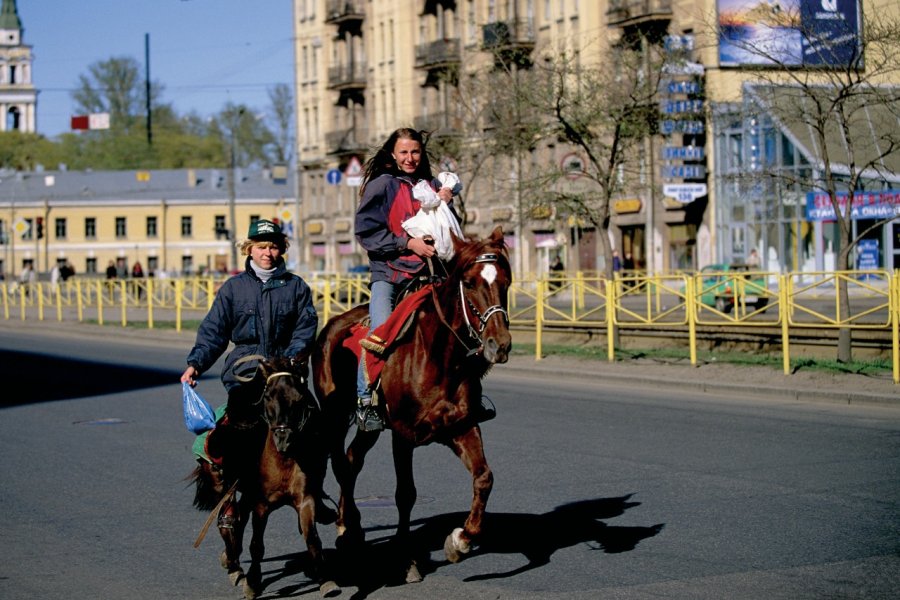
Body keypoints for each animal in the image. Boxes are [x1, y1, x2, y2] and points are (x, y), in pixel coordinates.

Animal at [192, 358, 340, 596]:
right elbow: (256, 545)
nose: (284, 438)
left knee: (238, 521)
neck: (283, 461)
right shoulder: (261, 505)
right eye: (268, 396)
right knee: (227, 522)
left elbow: (312, 539)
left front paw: (326, 580)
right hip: (224, 487)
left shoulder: (305, 500)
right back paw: (233, 564)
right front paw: (253, 582)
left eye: (298, 398)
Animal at [314, 225, 512, 580]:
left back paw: (350, 528)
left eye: (505, 281)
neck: (439, 357)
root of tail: (331, 328)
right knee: (339, 462)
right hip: (335, 416)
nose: (499, 345)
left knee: (351, 460)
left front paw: (461, 540)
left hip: (369, 427)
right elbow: (405, 494)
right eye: (470, 282)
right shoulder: (402, 435)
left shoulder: (462, 426)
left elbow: (484, 478)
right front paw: (407, 560)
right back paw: (347, 528)